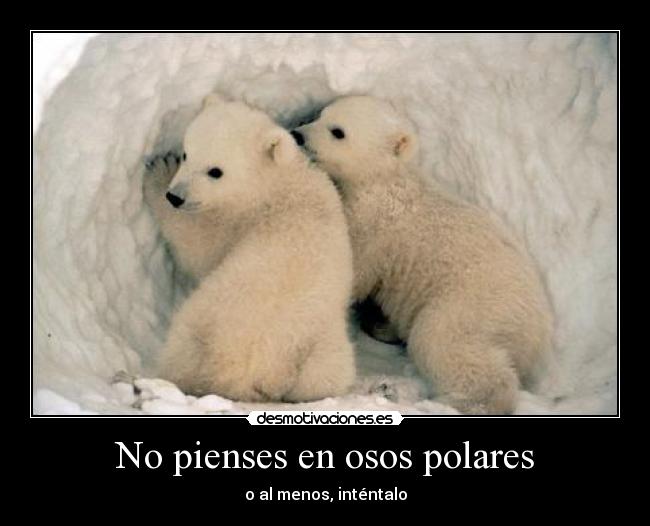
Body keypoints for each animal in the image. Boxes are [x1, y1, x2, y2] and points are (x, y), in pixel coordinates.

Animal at [145, 94, 356, 402]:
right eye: (187, 153)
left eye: (215, 171)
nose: (175, 196)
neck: (275, 183)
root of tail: (251, 373)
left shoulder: (235, 222)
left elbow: (198, 247)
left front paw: (158, 171)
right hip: (321, 352)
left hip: (204, 322)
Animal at [293, 95, 554, 414]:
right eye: (320, 115)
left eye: (338, 131)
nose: (298, 134)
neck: (384, 181)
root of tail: (537, 329)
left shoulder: (375, 226)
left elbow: (354, 269)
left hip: (473, 305)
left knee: (443, 340)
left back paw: (462, 401)